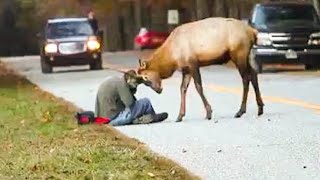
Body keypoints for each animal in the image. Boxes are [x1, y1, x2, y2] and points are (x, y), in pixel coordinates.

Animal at [136, 17, 264, 122]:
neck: (172, 58)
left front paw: (209, 113)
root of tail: (253, 32)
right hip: (246, 55)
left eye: (146, 77)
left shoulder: (193, 63)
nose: (158, 90)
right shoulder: (186, 69)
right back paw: (260, 108)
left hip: (238, 53)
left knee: (246, 78)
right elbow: (182, 88)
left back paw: (240, 111)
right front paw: (180, 116)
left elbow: (198, 86)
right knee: (253, 74)